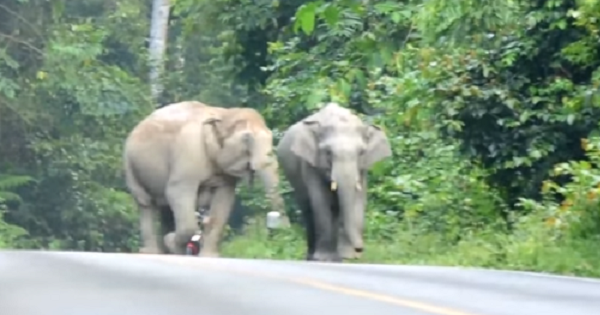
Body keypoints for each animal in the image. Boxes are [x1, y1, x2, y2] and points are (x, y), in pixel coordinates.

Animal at [123, 101, 290, 256]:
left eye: (271, 137)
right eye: (246, 139)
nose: (284, 229)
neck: (222, 113)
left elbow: (223, 201)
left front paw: (209, 256)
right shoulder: (189, 151)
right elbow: (177, 192)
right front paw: (171, 241)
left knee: (165, 209)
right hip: (130, 165)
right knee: (146, 203)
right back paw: (153, 252)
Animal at [276, 102, 392, 262]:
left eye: (361, 152)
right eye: (328, 152)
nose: (359, 249)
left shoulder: (362, 169)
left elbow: (358, 200)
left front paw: (348, 256)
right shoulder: (311, 163)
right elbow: (320, 201)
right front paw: (324, 258)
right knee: (308, 208)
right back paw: (312, 256)